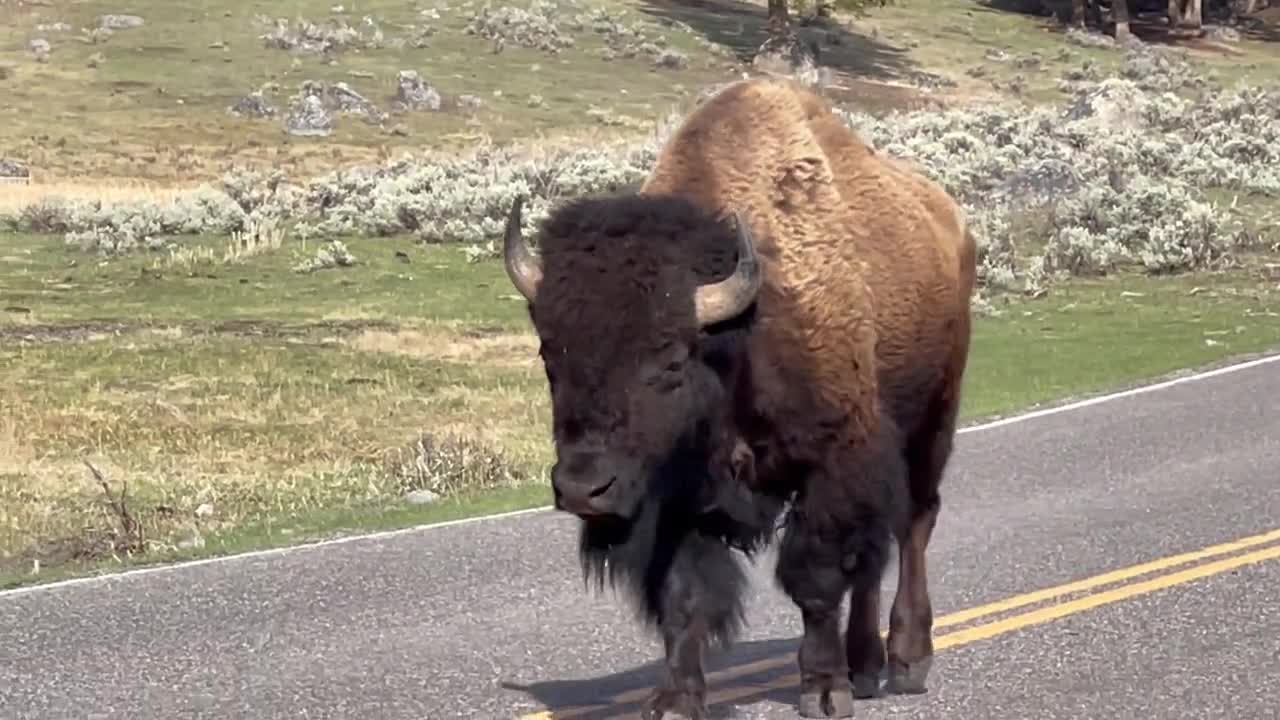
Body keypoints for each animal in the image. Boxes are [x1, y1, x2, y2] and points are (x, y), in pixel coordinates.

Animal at [501, 75, 977, 712]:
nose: (583, 488)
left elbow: (815, 581)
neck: (740, 333)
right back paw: (865, 664)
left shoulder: (833, 463)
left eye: (671, 359)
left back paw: (904, 660)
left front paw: (824, 691)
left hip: (932, 420)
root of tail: (951, 221)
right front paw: (676, 701)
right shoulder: (678, 494)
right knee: (874, 555)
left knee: (913, 527)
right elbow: (682, 597)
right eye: (549, 354)